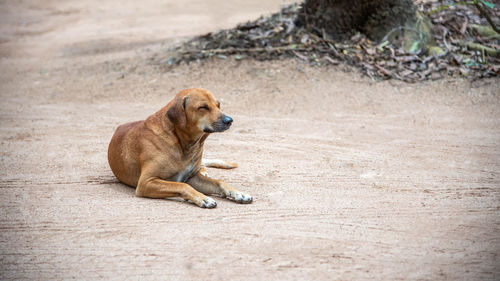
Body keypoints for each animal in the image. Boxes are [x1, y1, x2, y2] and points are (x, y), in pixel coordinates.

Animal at [107, 88, 252, 208]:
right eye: (203, 107)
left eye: (218, 105)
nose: (229, 120)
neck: (183, 143)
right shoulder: (146, 182)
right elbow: (182, 185)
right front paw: (202, 198)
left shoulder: (192, 177)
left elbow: (219, 182)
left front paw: (238, 193)